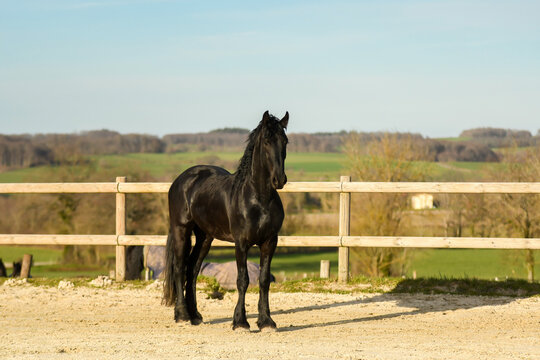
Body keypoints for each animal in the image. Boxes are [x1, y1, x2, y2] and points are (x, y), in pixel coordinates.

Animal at [162, 110, 288, 332]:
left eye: (285, 141)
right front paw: (240, 322)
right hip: (181, 230)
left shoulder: (270, 242)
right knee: (179, 267)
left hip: (205, 237)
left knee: (192, 269)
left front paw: (266, 321)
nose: (279, 180)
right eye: (266, 141)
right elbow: (243, 280)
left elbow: (264, 280)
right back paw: (182, 316)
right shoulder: (241, 243)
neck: (259, 199)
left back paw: (195, 315)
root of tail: (181, 180)